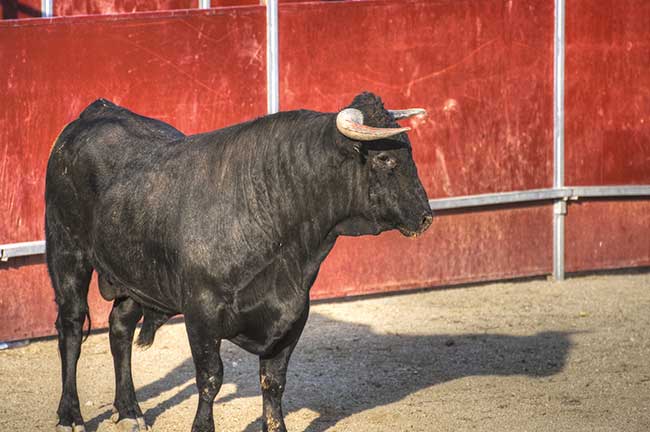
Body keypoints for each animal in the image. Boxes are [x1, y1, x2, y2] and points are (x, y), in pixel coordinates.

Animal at [44, 92, 430, 432]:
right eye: (385, 159)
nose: (426, 216)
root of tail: (95, 112)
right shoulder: (201, 313)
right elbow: (210, 377)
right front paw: (202, 427)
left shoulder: (293, 316)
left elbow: (273, 382)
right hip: (67, 252)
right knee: (71, 328)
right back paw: (70, 416)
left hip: (132, 274)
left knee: (120, 328)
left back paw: (129, 411)